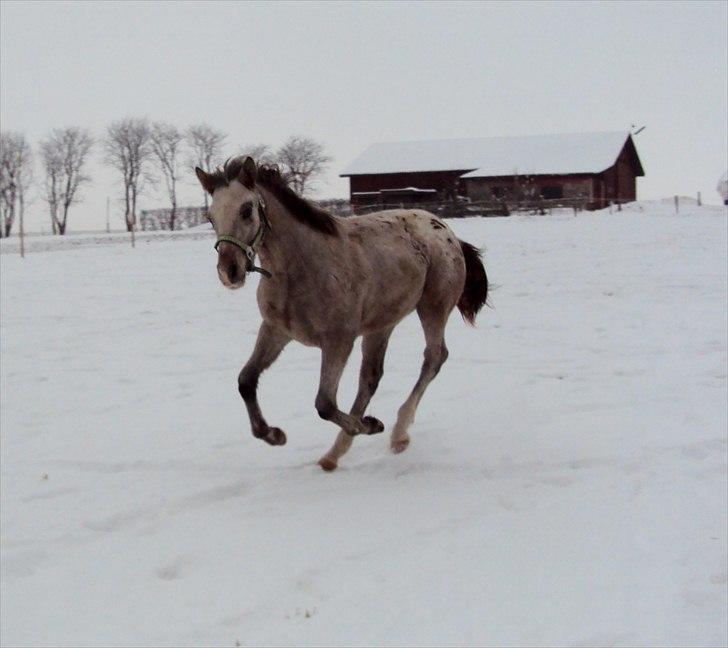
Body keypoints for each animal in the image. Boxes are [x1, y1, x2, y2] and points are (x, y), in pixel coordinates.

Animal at [195, 157, 490, 470]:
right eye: (211, 216)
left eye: (246, 209)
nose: (229, 272)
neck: (300, 269)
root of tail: (448, 232)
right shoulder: (275, 330)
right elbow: (246, 381)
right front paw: (273, 434)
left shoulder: (338, 340)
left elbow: (324, 404)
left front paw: (371, 425)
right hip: (381, 323)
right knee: (371, 377)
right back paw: (334, 454)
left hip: (433, 306)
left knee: (434, 357)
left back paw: (397, 433)